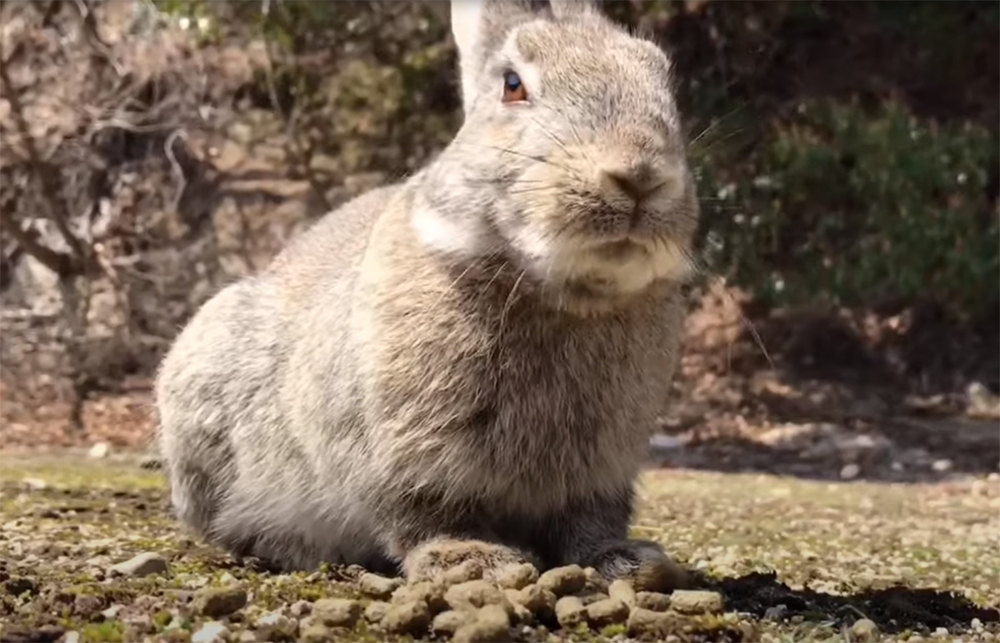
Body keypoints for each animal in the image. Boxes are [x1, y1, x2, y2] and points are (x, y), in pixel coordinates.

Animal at [158, 0, 704, 592]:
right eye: (513, 85)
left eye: (663, 79)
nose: (639, 174)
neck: (560, 291)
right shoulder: (405, 451)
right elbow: (427, 512)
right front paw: (473, 563)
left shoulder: (602, 467)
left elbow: (589, 520)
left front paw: (629, 563)